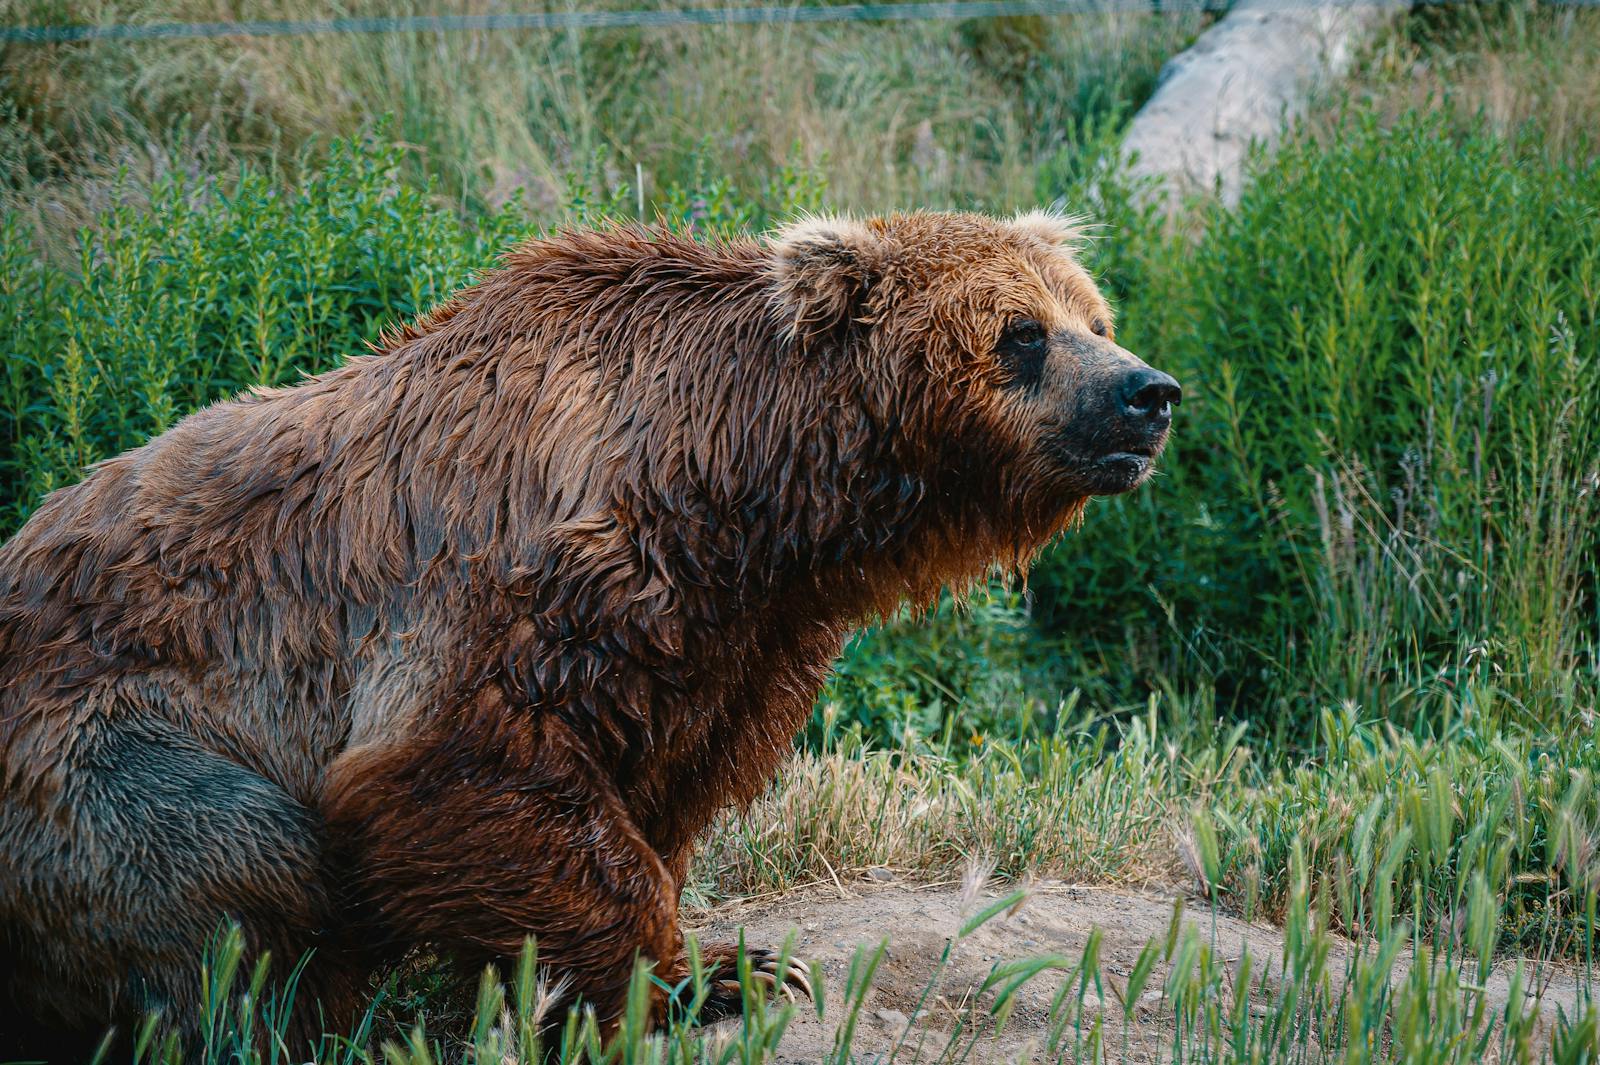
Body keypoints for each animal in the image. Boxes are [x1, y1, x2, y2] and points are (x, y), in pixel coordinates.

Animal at [0, 210, 1180, 1053]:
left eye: (1095, 317)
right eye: (1019, 334)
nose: (1147, 392)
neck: (743, 492)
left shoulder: (737, 639)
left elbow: (661, 788)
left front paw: (696, 970)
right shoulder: (524, 577)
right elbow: (463, 767)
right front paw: (707, 978)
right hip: (96, 752)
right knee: (238, 862)